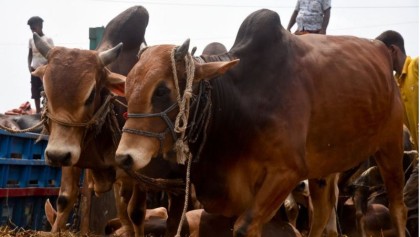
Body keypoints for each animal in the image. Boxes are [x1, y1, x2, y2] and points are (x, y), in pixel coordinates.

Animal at [114, 8, 406, 237]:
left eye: (162, 91)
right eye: (126, 89)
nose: (123, 158)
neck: (241, 102)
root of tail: (380, 48)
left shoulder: (287, 172)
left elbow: (245, 228)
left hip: (391, 145)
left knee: (398, 207)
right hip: (323, 168)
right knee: (322, 217)